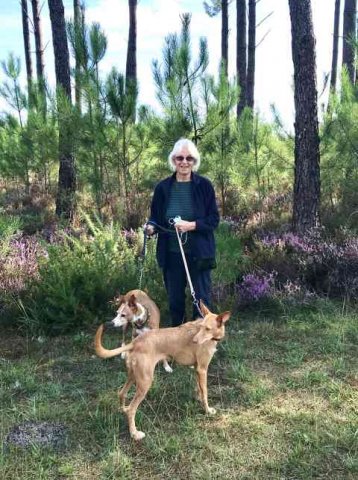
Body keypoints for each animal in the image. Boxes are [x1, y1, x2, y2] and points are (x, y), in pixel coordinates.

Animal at [94, 304, 229, 442]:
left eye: (207, 329)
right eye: (202, 327)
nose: (195, 341)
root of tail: (135, 342)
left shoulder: (197, 369)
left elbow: (199, 389)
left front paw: (198, 399)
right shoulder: (202, 369)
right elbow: (205, 392)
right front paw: (207, 410)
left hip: (133, 376)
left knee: (121, 394)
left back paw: (123, 410)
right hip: (145, 382)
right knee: (132, 409)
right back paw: (135, 434)